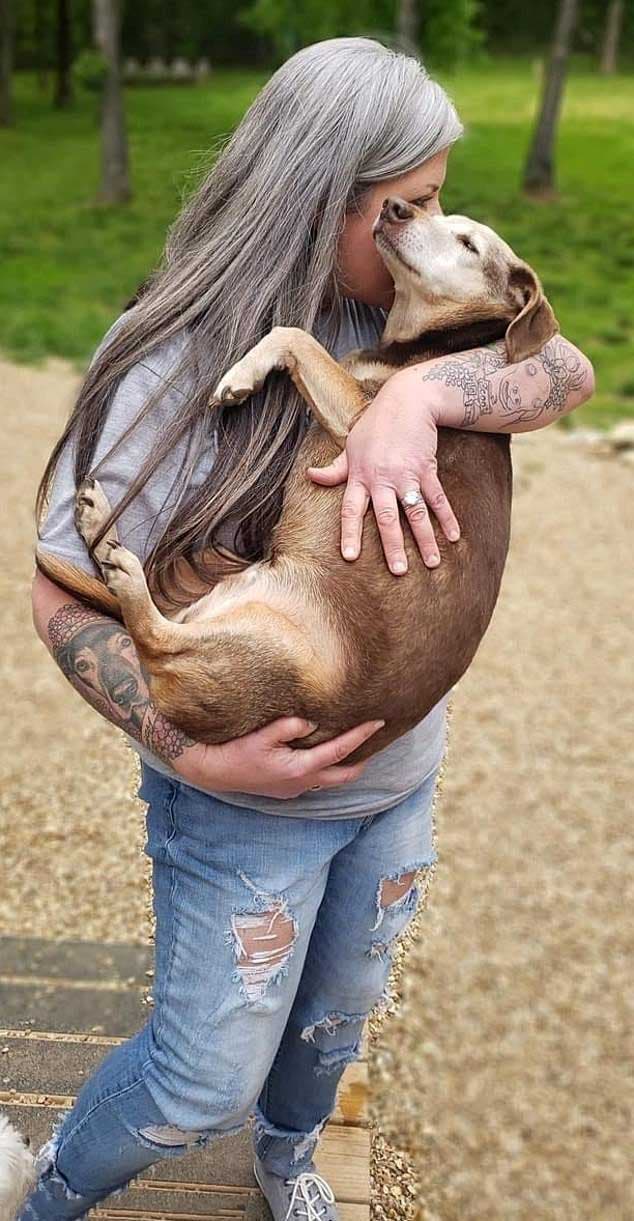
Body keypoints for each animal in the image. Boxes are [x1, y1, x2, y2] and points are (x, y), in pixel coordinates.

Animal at [36, 205, 561, 766]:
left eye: (468, 244)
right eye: (440, 214)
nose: (396, 207)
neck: (438, 343)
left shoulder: (371, 428)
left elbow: (293, 335)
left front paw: (241, 375)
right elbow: (297, 337)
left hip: (271, 645)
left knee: (154, 637)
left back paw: (123, 567)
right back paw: (101, 529)